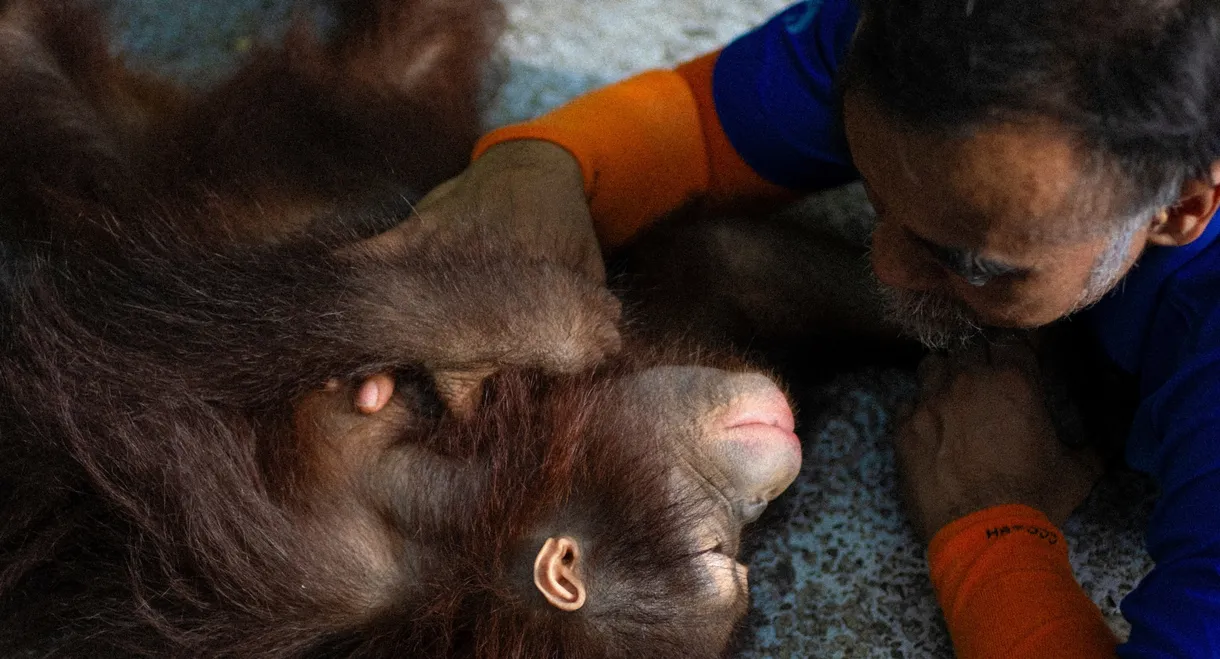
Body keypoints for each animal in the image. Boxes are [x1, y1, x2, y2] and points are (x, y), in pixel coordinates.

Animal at [0, 0, 805, 656]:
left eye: (737, 550)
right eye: (717, 548)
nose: (762, 500)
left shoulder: (305, 558)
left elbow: (122, 360)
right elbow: (135, 353)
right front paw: (550, 316)